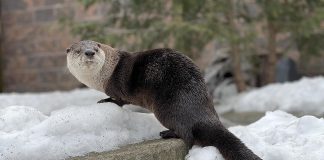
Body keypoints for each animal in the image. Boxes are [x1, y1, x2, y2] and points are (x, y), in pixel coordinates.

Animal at [67, 39, 262, 159]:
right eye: (78, 51)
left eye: (96, 48)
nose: (89, 53)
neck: (106, 74)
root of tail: (204, 113)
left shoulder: (117, 87)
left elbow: (120, 100)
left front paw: (106, 101)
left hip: (166, 107)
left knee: (187, 135)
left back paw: (166, 133)